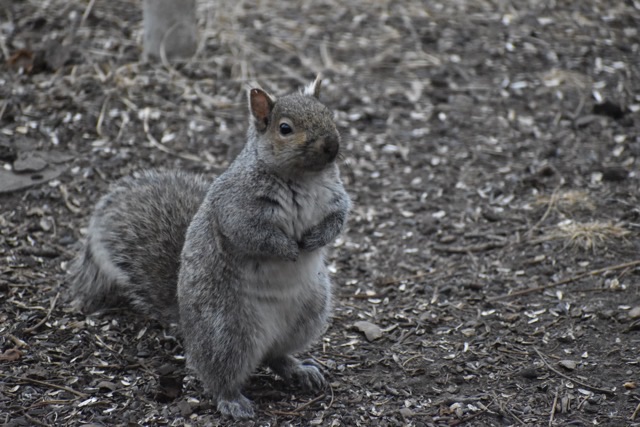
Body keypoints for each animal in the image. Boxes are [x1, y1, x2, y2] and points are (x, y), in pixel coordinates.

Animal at [69, 76, 351, 419]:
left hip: (309, 314)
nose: (332, 146)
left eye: (329, 115)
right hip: (226, 331)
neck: (304, 179)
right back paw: (232, 401)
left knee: (275, 356)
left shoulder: (335, 199)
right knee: (218, 375)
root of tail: (187, 327)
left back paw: (299, 370)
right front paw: (288, 249)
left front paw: (315, 239)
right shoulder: (236, 208)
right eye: (285, 128)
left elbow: (337, 220)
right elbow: (254, 235)